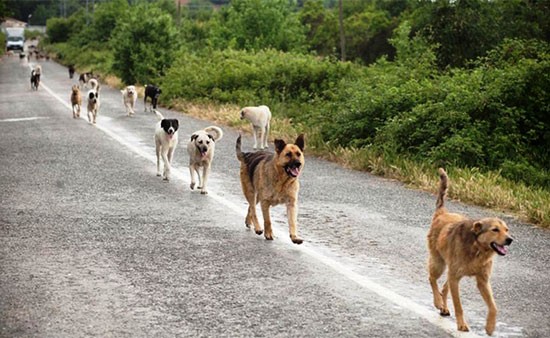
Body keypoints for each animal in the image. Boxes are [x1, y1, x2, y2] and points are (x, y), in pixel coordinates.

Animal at [430, 168, 516, 336]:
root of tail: (442, 212)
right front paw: (461, 324)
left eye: (506, 229)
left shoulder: (483, 280)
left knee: (444, 287)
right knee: (432, 279)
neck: (478, 249)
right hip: (439, 263)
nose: (510, 239)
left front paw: (490, 326)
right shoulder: (455, 277)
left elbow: (494, 307)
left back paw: (443, 307)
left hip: (450, 271)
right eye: (495, 229)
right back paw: (438, 302)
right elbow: (459, 305)